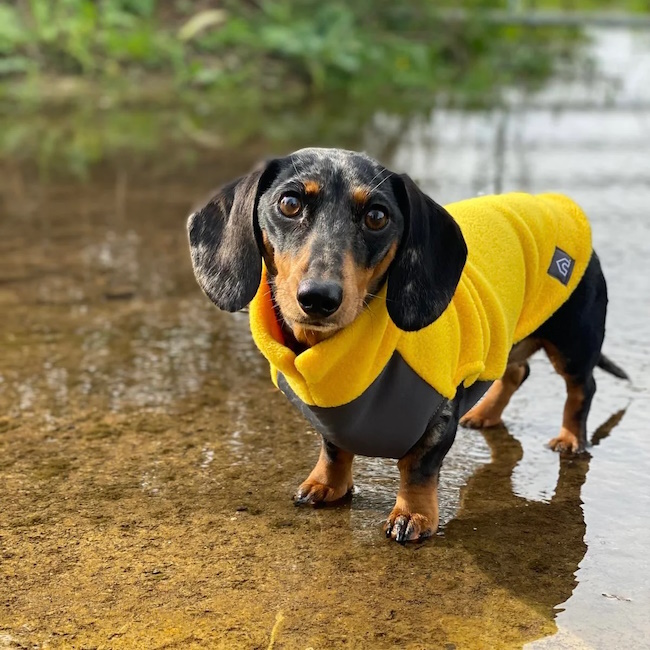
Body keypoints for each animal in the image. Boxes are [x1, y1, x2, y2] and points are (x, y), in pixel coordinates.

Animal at [185, 147, 624, 540]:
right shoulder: (331, 416)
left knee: (582, 387)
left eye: (377, 216)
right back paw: (485, 413)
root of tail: (557, 203)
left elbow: (417, 468)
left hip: (573, 339)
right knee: (517, 369)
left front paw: (413, 515)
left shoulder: (439, 415)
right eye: (289, 203)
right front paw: (327, 484)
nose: (319, 298)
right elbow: (333, 448)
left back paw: (570, 438)